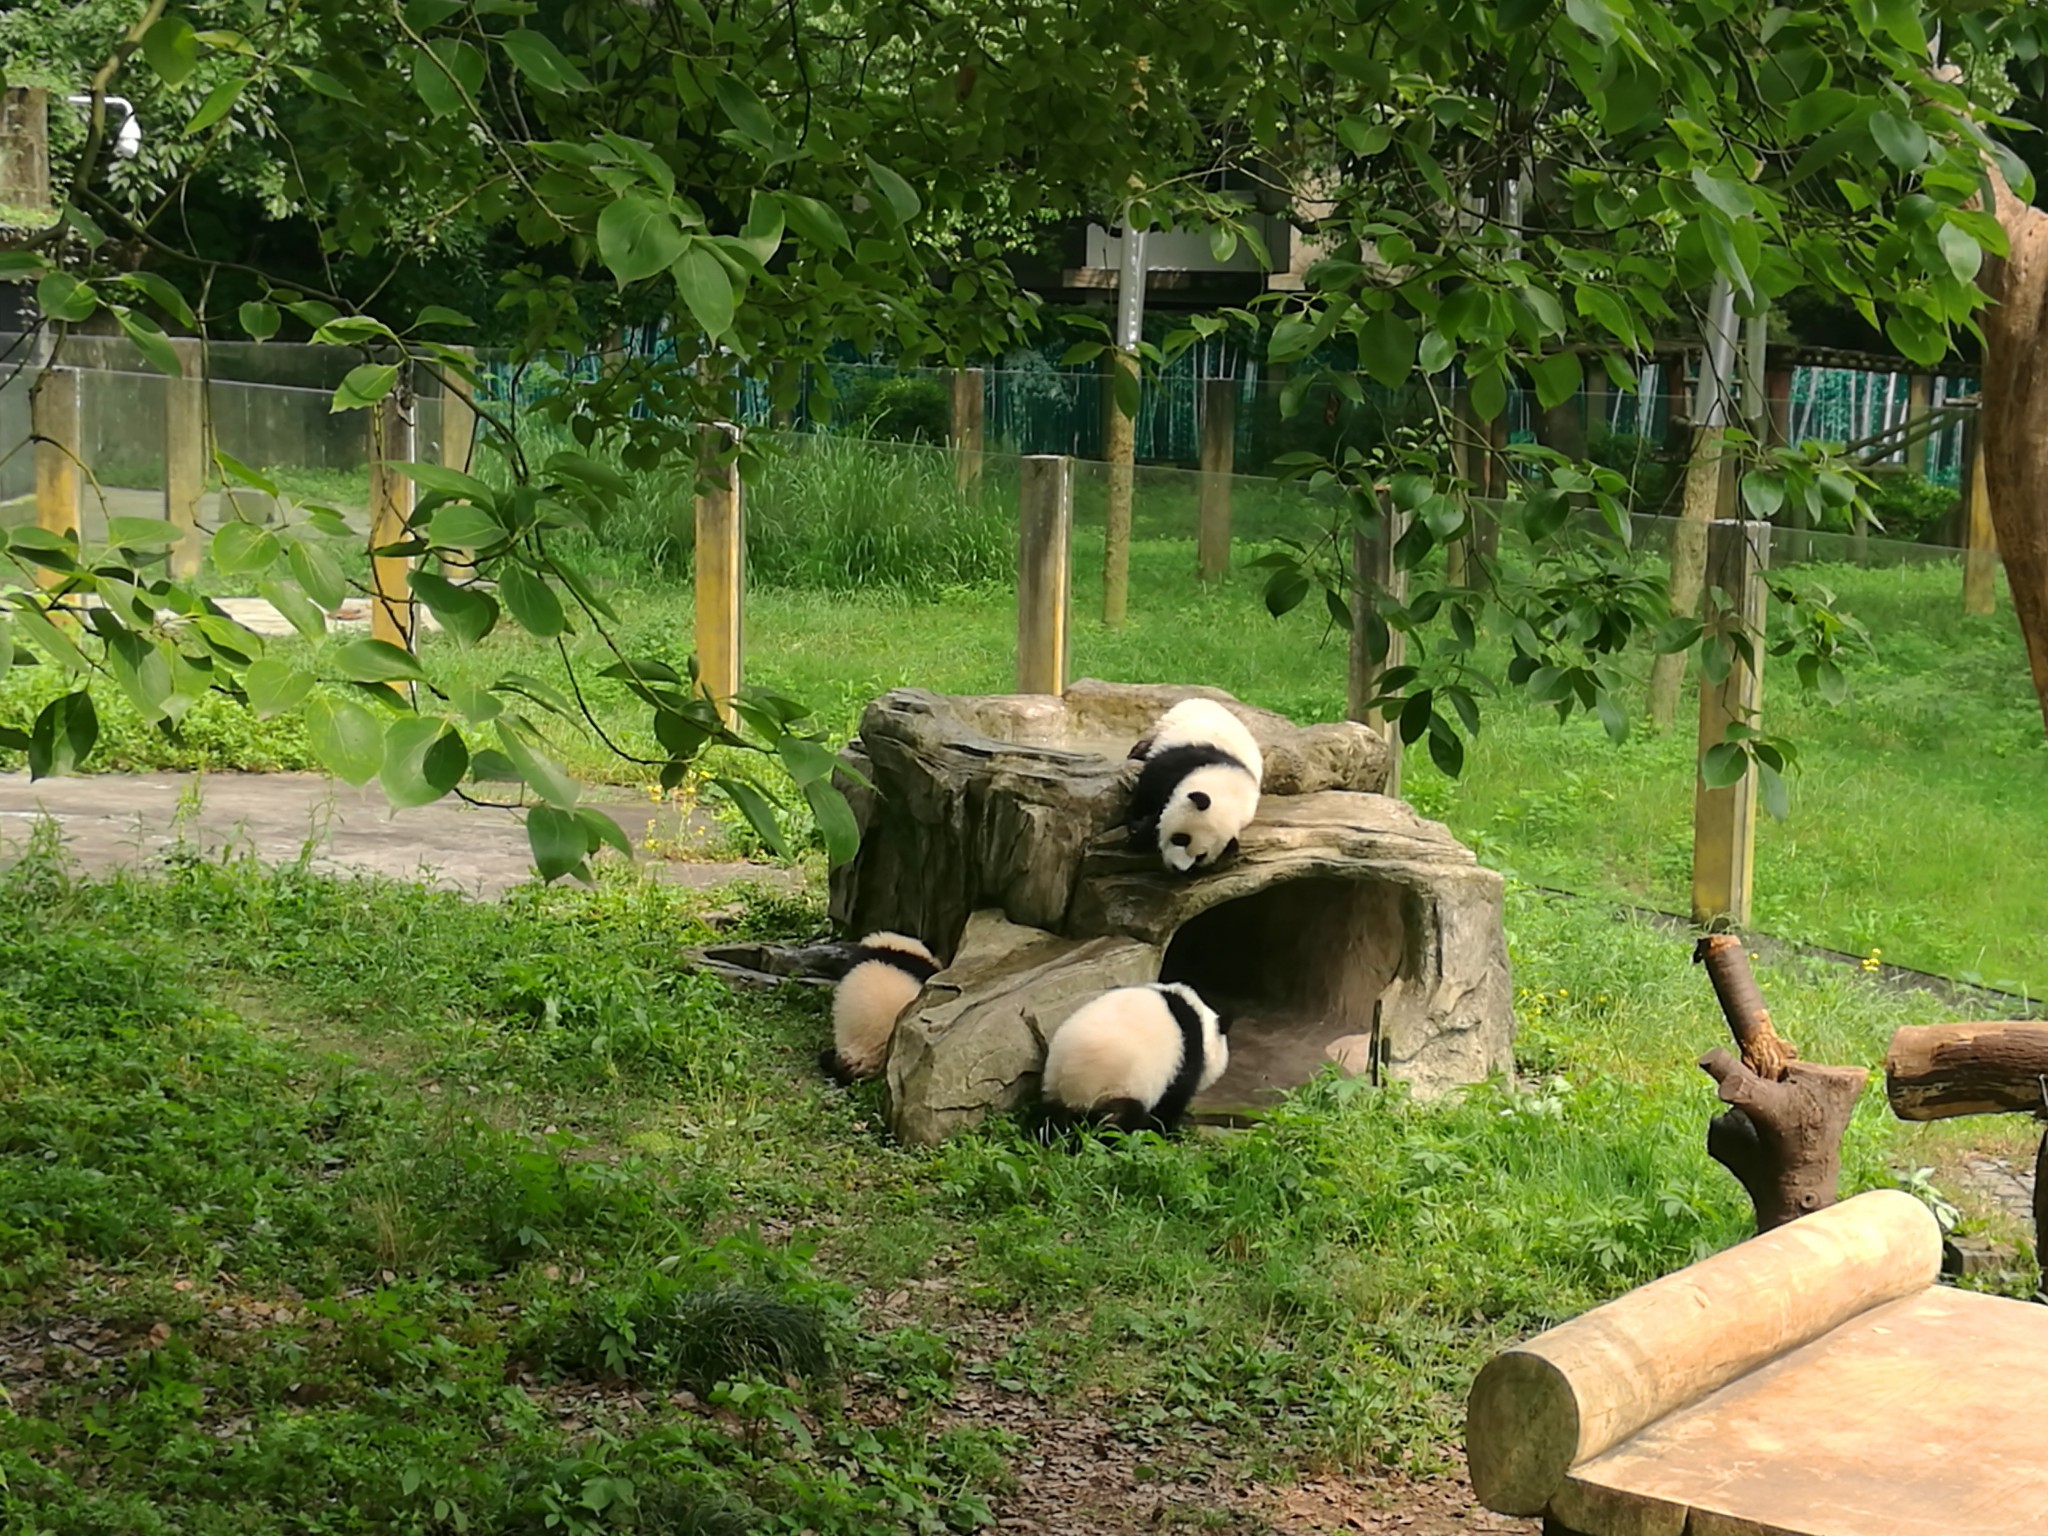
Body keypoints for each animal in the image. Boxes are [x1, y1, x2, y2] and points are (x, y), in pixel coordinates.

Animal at [1032, 987, 1220, 1146]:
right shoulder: (1185, 1056)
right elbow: (1170, 1105)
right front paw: (1167, 1132)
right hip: (1119, 1087)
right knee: (1116, 1124)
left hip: (1053, 1085)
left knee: (1051, 1119)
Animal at [1130, 700, 1253, 876]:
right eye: (1182, 839)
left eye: (1200, 856)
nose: (1178, 868)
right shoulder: (1181, 763)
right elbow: (1148, 793)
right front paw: (1137, 832)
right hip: (1167, 723)